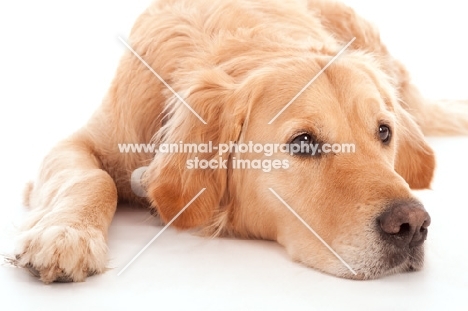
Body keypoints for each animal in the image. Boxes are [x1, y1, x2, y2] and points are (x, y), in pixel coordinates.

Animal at [10, 0, 468, 284]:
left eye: (384, 132)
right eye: (303, 142)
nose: (412, 225)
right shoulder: (81, 141)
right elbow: (94, 179)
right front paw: (66, 235)